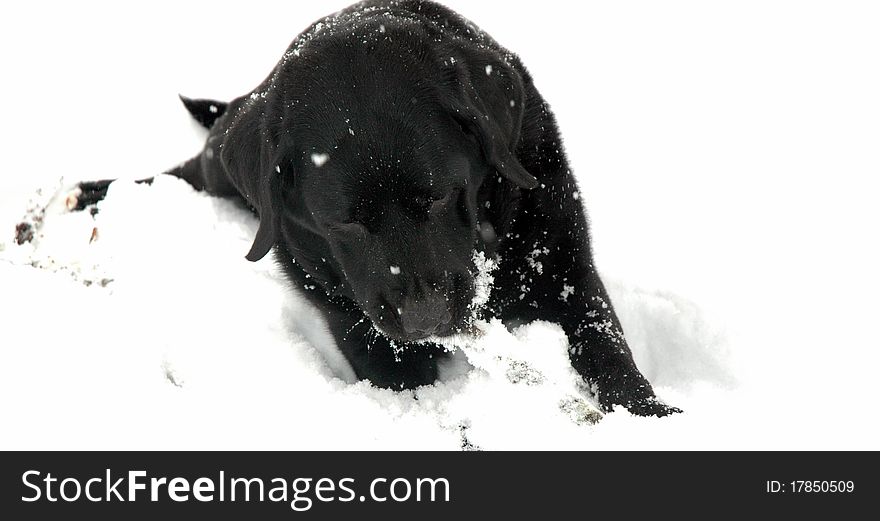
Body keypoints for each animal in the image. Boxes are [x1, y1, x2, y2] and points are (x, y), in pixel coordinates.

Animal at [75, 0, 680, 414]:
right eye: (344, 223)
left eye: (439, 196)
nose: (424, 318)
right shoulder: (359, 328)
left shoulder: (565, 265)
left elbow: (606, 346)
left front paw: (650, 416)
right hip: (220, 166)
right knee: (183, 171)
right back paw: (88, 193)